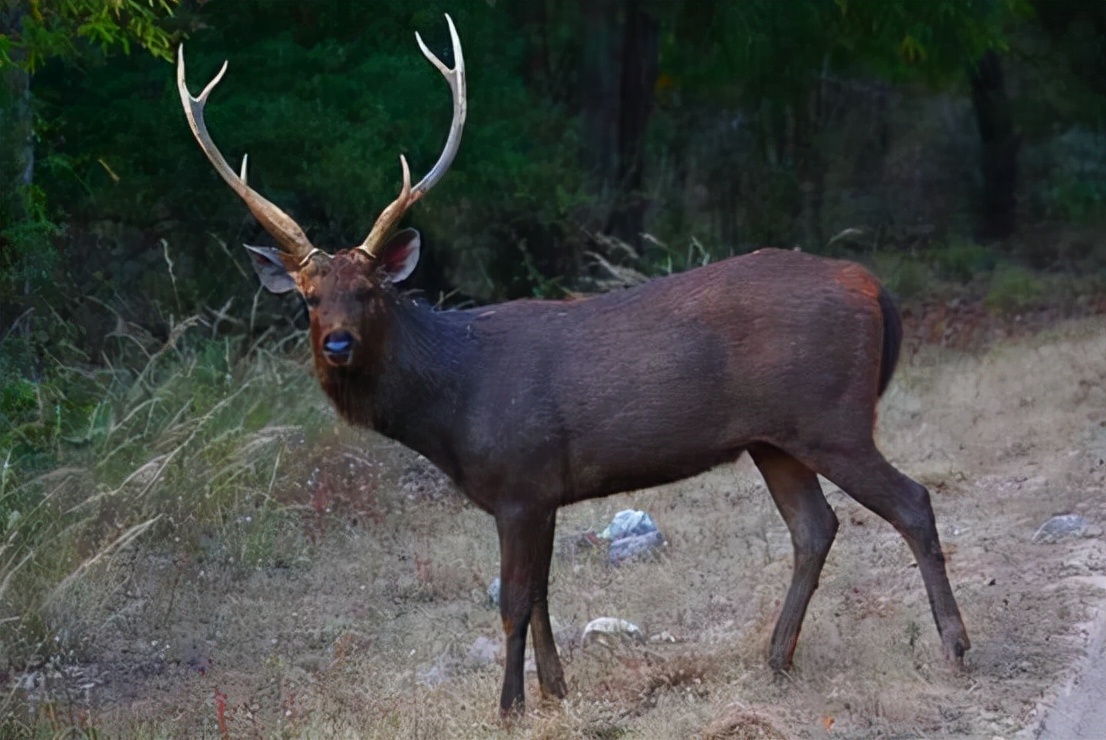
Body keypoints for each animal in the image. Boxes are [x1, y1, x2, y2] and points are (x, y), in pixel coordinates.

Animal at [174, 12, 968, 716]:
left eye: (369, 291)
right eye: (309, 299)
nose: (338, 344)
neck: (451, 406)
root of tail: (871, 288)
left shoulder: (520, 479)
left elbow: (514, 602)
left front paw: (509, 706)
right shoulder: (544, 489)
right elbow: (544, 596)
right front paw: (557, 692)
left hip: (831, 415)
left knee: (912, 503)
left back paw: (954, 649)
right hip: (774, 438)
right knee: (815, 527)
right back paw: (775, 660)